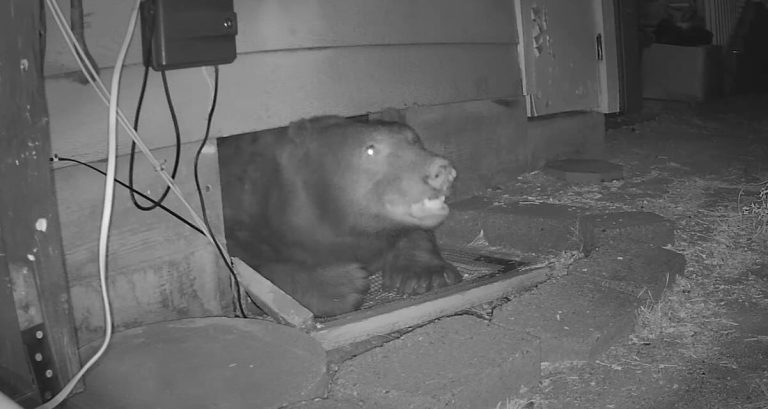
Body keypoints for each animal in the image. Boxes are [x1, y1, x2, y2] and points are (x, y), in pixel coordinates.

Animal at [218, 115, 462, 317]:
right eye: (370, 149)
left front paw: (426, 274)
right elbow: (247, 262)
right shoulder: (245, 206)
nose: (440, 171)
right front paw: (340, 285)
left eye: (414, 140)